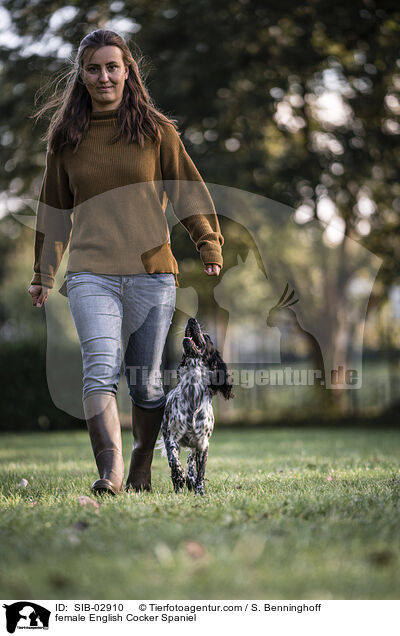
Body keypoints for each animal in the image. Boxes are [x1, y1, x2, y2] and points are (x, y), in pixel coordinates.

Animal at [159, 318, 234, 496]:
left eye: (206, 337)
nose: (192, 319)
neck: (192, 391)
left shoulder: (202, 444)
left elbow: (200, 471)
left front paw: (199, 491)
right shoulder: (171, 437)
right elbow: (173, 460)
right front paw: (180, 476)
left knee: (191, 459)